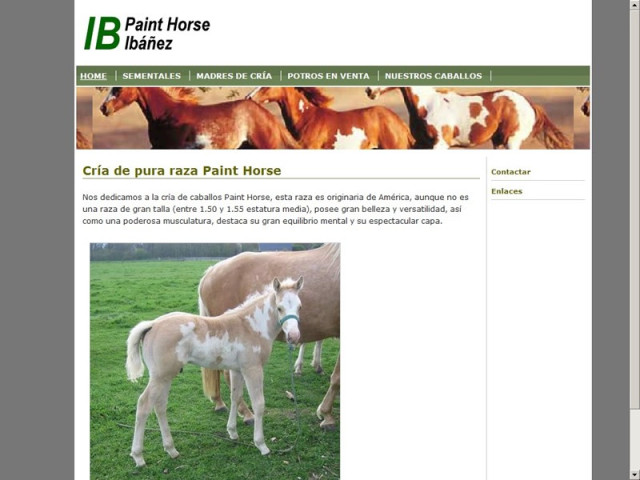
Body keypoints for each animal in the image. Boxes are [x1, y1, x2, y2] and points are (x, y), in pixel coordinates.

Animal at [125, 277, 304, 466]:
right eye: (280, 307)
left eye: (299, 306)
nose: (294, 336)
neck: (252, 326)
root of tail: (152, 325)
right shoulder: (252, 369)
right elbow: (259, 404)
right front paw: (261, 445)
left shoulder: (237, 370)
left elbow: (235, 397)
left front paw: (232, 432)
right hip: (160, 377)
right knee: (144, 405)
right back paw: (138, 456)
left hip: (165, 377)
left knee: (159, 406)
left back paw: (171, 450)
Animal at [199, 243, 340, 430]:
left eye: (300, 307)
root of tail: (211, 272)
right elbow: (337, 377)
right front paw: (326, 415)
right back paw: (247, 413)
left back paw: (220, 403)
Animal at [365, 86, 572, 149]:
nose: (368, 90)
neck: (427, 105)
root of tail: (528, 103)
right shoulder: (421, 145)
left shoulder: (440, 145)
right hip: (498, 141)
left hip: (512, 141)